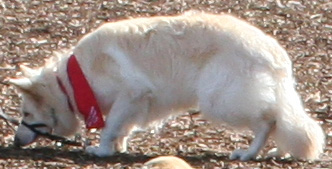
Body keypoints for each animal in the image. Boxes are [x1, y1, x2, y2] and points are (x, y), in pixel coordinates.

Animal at [9, 10, 324, 161]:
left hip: (219, 100)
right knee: (280, 120)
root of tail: (275, 53)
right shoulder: (134, 103)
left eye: (25, 114)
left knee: (268, 121)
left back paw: (248, 153)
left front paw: (101, 149)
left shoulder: (131, 93)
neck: (72, 80)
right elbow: (121, 127)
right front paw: (118, 146)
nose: (14, 142)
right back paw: (277, 152)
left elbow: (110, 126)